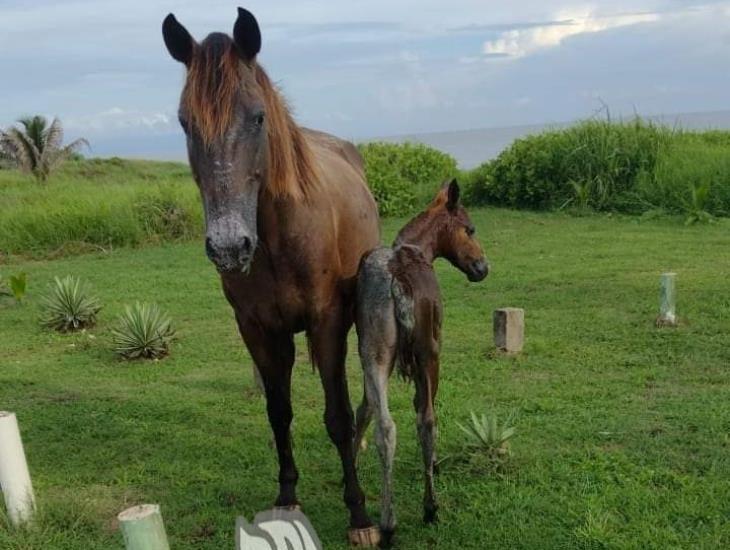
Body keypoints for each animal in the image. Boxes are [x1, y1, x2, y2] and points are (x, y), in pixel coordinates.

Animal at [162, 8, 382, 548]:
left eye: (258, 117)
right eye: (185, 123)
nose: (227, 246)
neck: (279, 235)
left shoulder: (326, 322)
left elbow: (336, 418)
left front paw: (359, 515)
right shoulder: (258, 329)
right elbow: (278, 412)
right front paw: (286, 498)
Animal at [354, 182, 490, 548]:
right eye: (470, 228)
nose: (482, 268)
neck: (417, 249)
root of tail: (398, 281)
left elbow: (365, 409)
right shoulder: (432, 354)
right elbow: (423, 410)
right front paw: (434, 466)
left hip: (375, 355)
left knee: (385, 427)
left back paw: (387, 523)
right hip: (428, 354)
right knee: (426, 420)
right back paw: (429, 508)